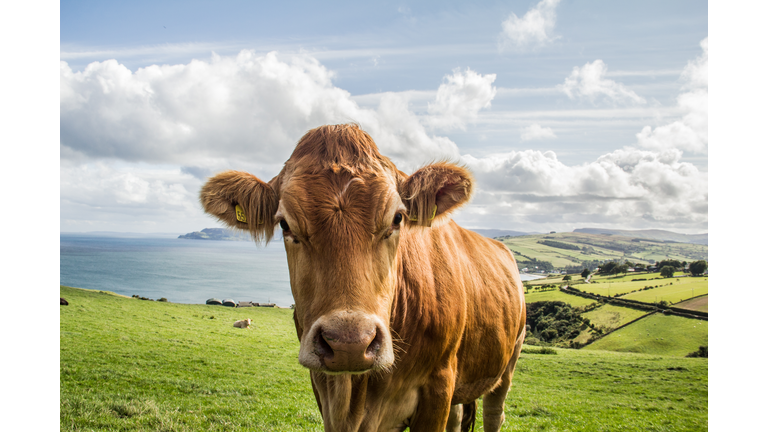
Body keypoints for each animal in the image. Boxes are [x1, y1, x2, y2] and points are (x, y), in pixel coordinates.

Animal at [200, 124, 526, 432]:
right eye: (284, 224)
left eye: (398, 218)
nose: (349, 343)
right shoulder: (323, 388)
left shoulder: (438, 385)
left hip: (509, 361)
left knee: (495, 413)